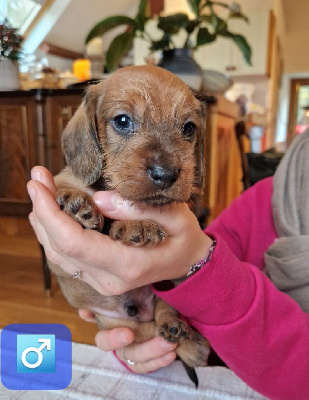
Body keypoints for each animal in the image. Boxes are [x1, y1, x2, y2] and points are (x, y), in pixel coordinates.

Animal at [49, 65, 209, 384]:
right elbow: (65, 183)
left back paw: (183, 336)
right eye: (122, 120)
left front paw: (140, 224)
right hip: (119, 326)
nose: (166, 174)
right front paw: (75, 204)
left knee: (163, 312)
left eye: (188, 128)